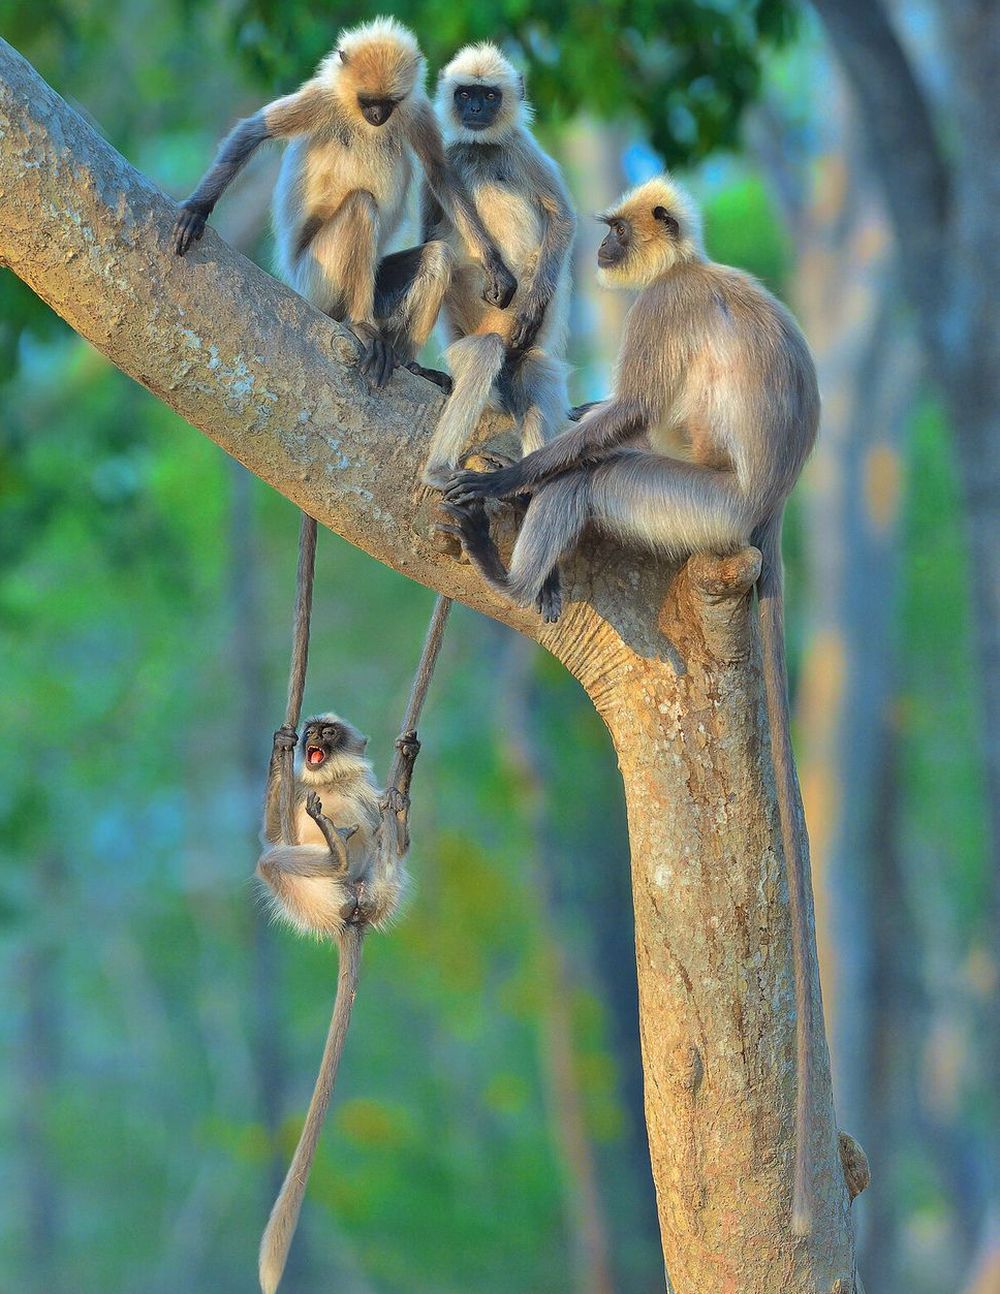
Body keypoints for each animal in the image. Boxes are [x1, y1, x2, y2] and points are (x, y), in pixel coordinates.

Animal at [172, 15, 514, 385]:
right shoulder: (321, 98)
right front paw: (196, 209)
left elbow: (441, 175)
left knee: (437, 256)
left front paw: (495, 265)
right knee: (362, 205)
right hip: (316, 279)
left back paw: (408, 362)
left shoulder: (416, 108)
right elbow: (253, 132)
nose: (377, 115)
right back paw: (361, 325)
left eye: (389, 103)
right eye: (367, 101)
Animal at [256, 714, 419, 1288]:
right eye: (312, 730)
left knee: (384, 852)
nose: (310, 737)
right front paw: (280, 746)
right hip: (311, 899)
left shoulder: (364, 793)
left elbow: (402, 838)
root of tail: (349, 915)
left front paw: (402, 779)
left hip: (379, 892)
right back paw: (333, 852)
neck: (330, 783)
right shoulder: (300, 794)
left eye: (328, 731)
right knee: (273, 861)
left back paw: (351, 839)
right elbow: (272, 833)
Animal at [419, 43, 576, 486]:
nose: (475, 110)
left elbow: (562, 218)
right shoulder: (448, 155)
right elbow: (428, 236)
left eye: (489, 96)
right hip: (468, 345)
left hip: (523, 350)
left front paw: (531, 306)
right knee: (484, 353)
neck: (481, 148)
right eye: (465, 95)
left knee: (534, 370)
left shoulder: (521, 147)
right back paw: (438, 470)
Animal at [445, 172, 817, 1231]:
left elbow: (630, 417)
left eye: (613, 230)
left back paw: (512, 574)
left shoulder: (663, 309)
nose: (604, 250)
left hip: (695, 510)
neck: (691, 266)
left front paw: (515, 475)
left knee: (606, 477)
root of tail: (765, 514)